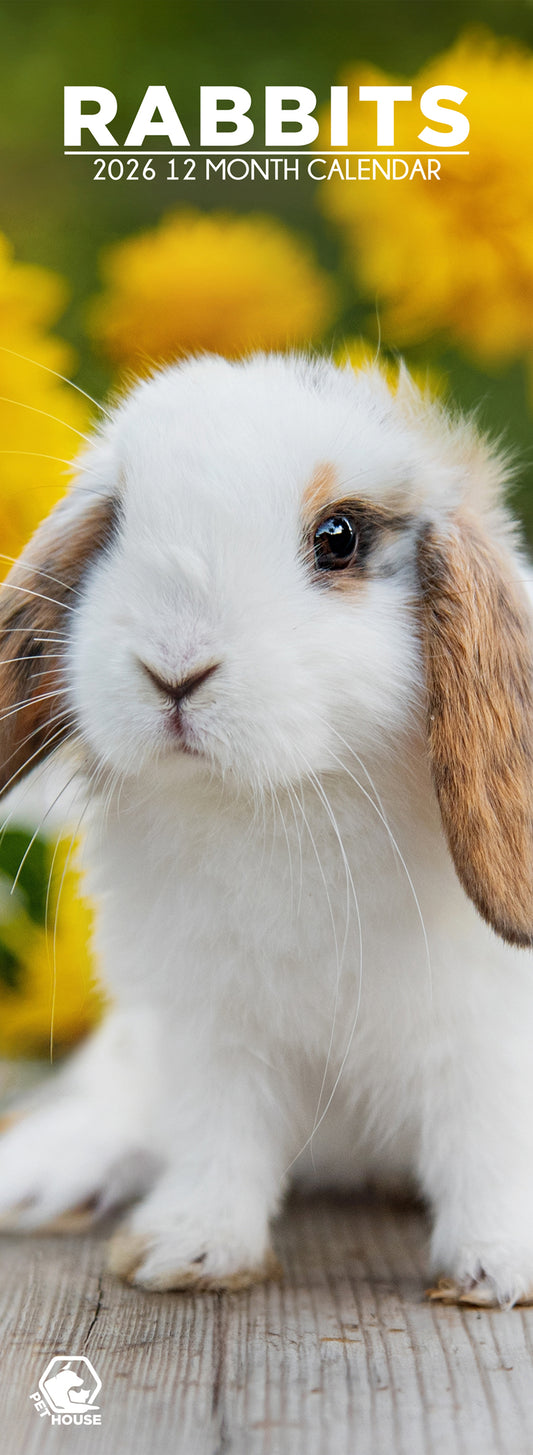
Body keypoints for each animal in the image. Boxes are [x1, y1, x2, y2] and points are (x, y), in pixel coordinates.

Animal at [0, 351, 532, 1306]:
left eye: (338, 537)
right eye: (117, 522)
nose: (174, 670)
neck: (281, 795)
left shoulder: (488, 1033)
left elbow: (488, 1142)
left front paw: (496, 1268)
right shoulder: (210, 1028)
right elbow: (218, 1136)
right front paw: (189, 1250)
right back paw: (37, 1178)